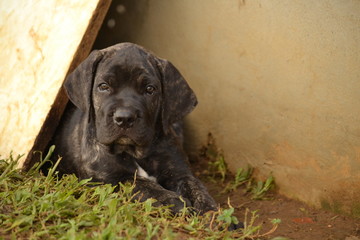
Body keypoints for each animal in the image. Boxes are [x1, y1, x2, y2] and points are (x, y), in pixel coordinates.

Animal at [50, 43, 217, 214]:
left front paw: (210, 209)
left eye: (150, 89)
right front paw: (172, 200)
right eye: (103, 86)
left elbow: (195, 187)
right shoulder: (109, 179)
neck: (134, 152)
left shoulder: (179, 171)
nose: (124, 118)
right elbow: (140, 184)